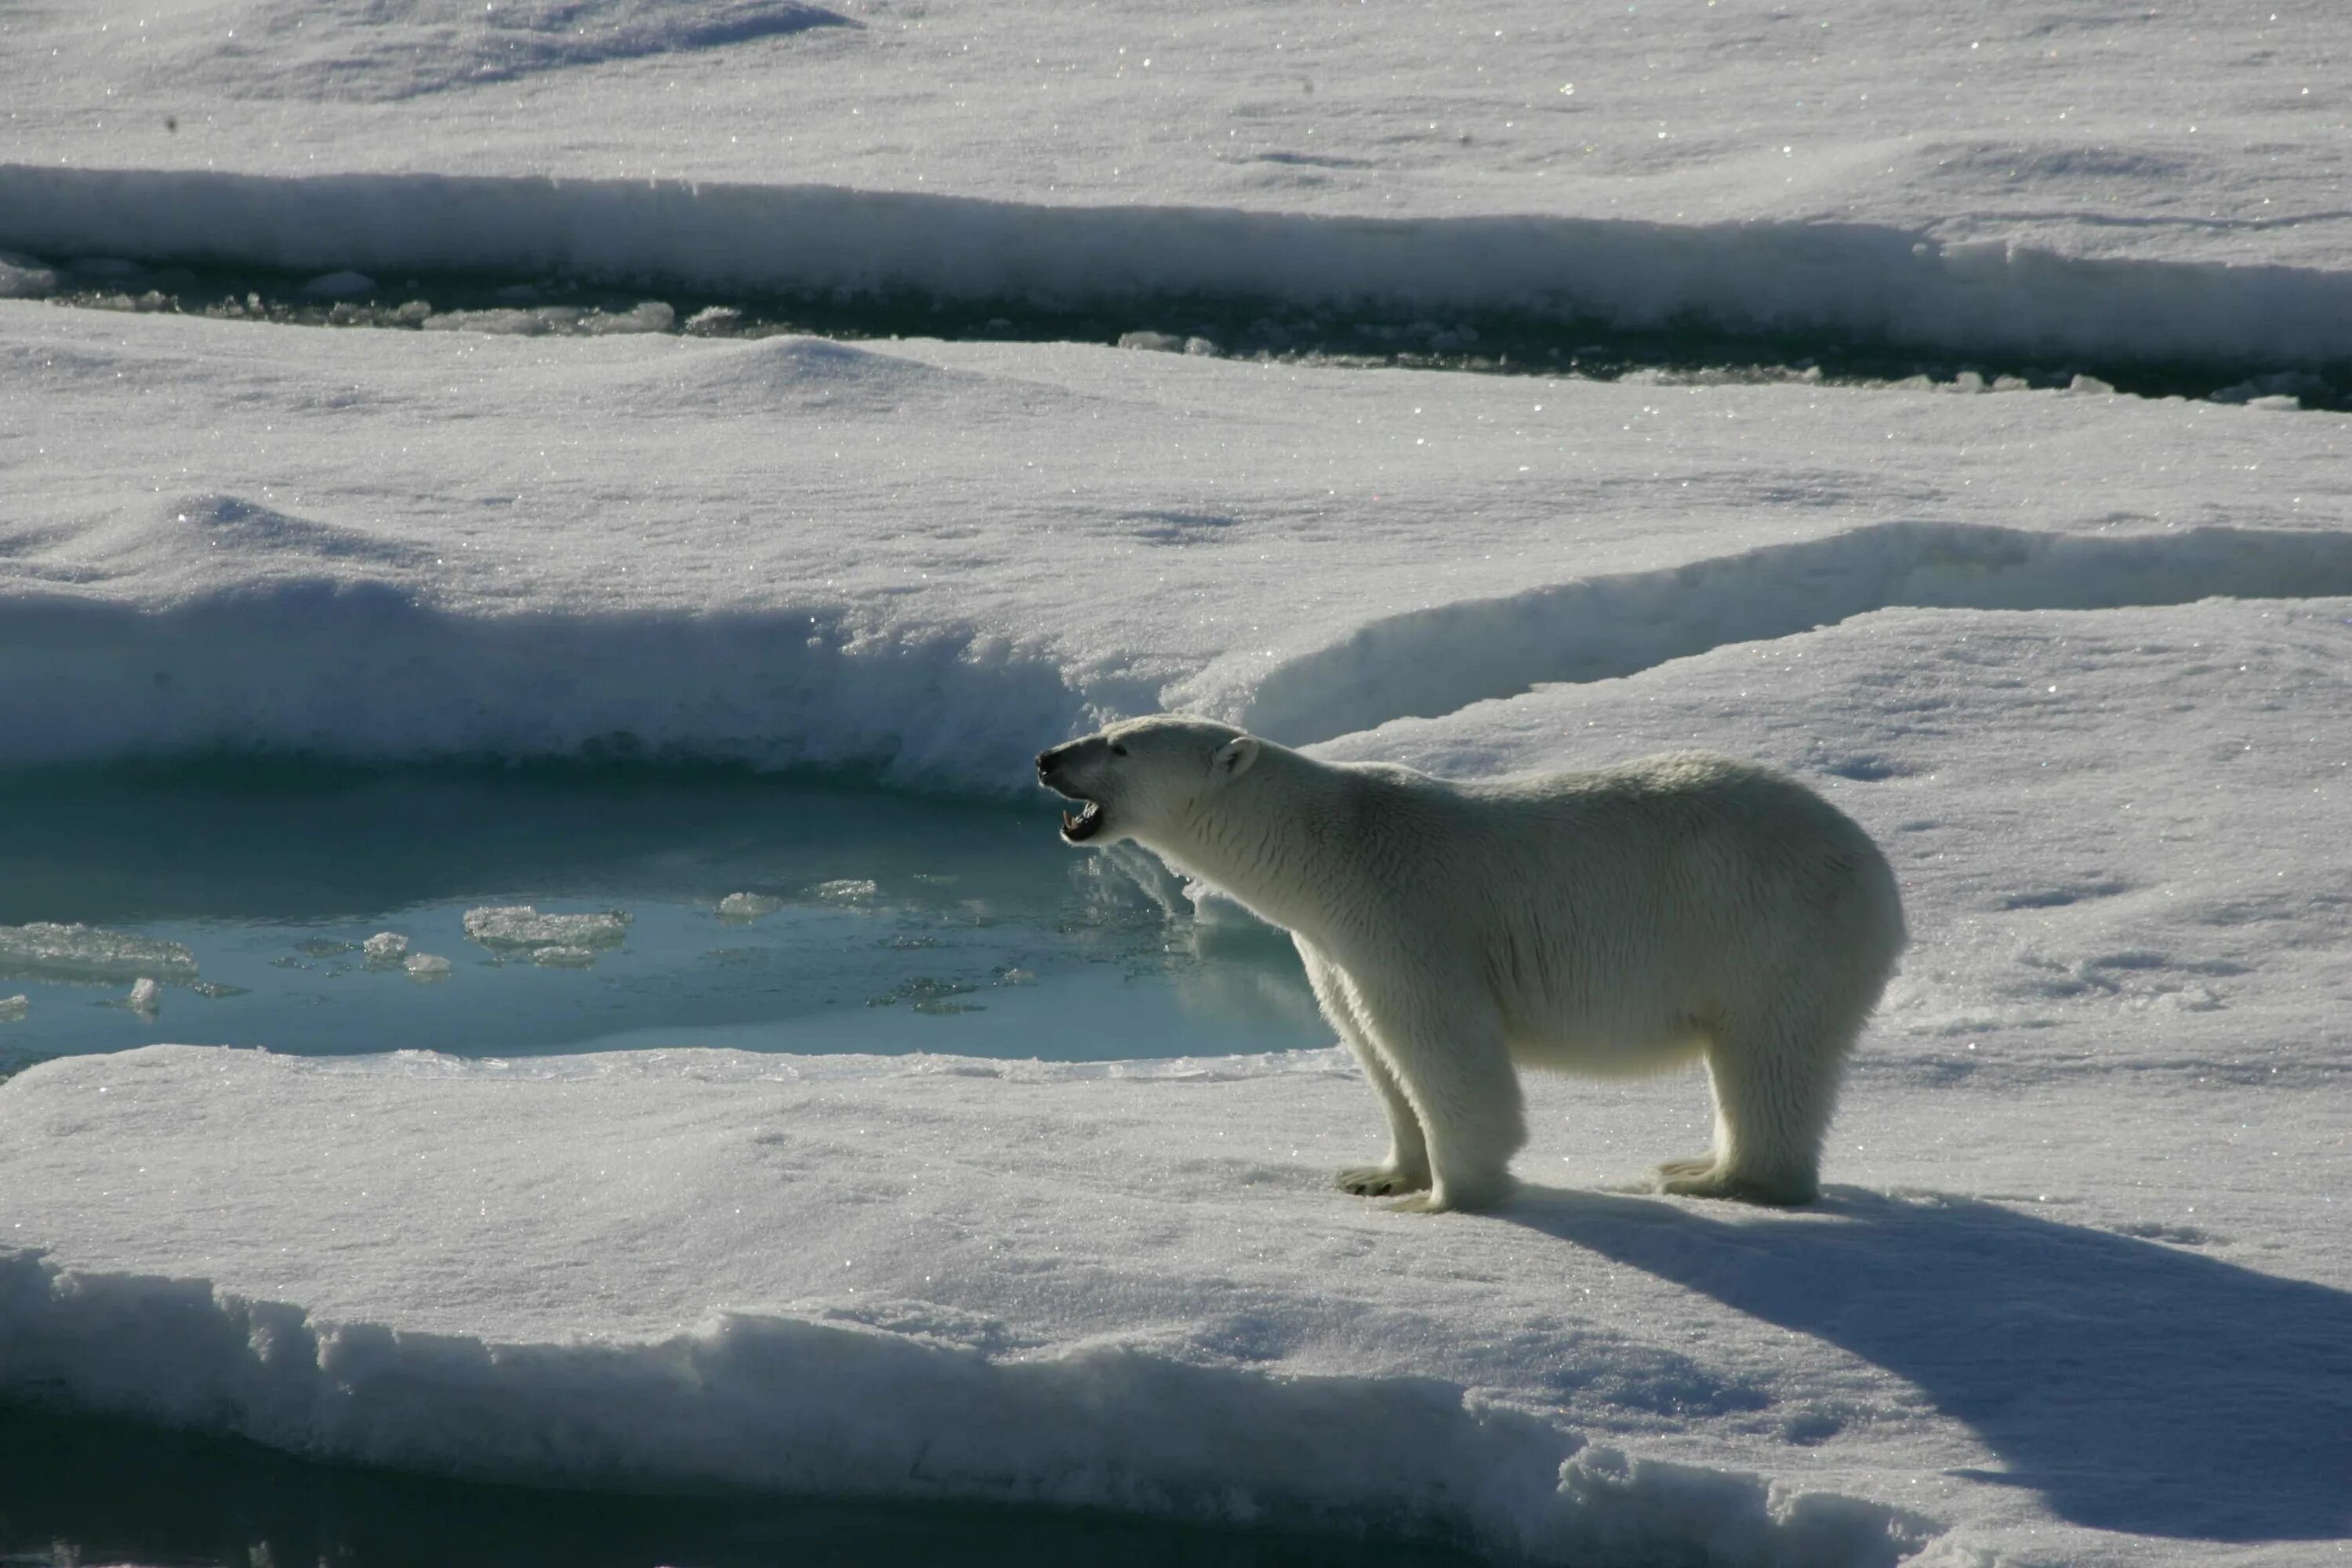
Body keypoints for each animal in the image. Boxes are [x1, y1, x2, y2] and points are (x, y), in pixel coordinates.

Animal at [1040, 719, 1900, 1222]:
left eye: (1118, 745)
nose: (1047, 757)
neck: (1325, 848)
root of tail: (1877, 868)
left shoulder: (1405, 913)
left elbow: (1438, 1044)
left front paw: (1446, 1199)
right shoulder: (1331, 945)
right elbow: (1372, 1046)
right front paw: (1379, 1175)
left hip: (1769, 930)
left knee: (1769, 1058)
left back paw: (1718, 1180)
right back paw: (1697, 1163)